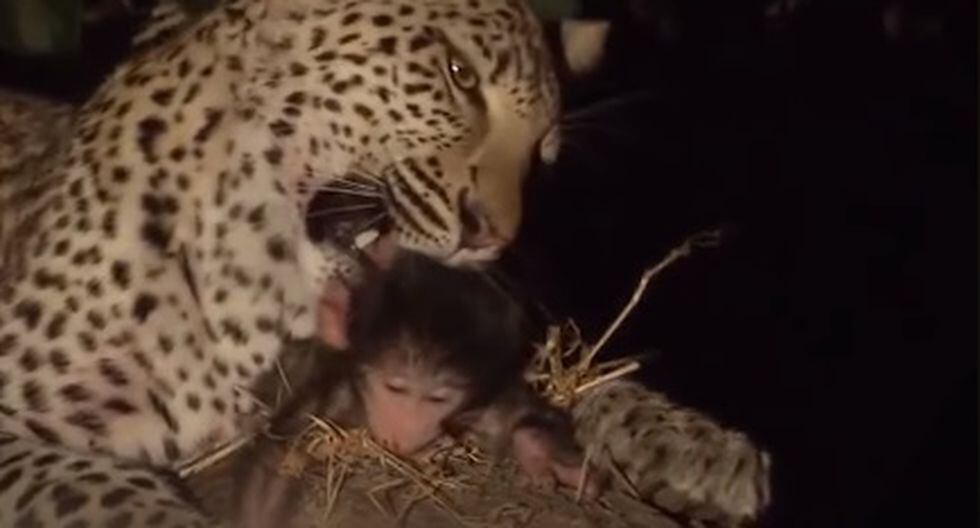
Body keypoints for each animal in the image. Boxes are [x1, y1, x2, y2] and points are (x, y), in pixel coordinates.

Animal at [232, 251, 597, 528]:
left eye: (437, 398)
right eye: (396, 388)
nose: (405, 428)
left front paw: (539, 450)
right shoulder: (331, 400)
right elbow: (274, 464)